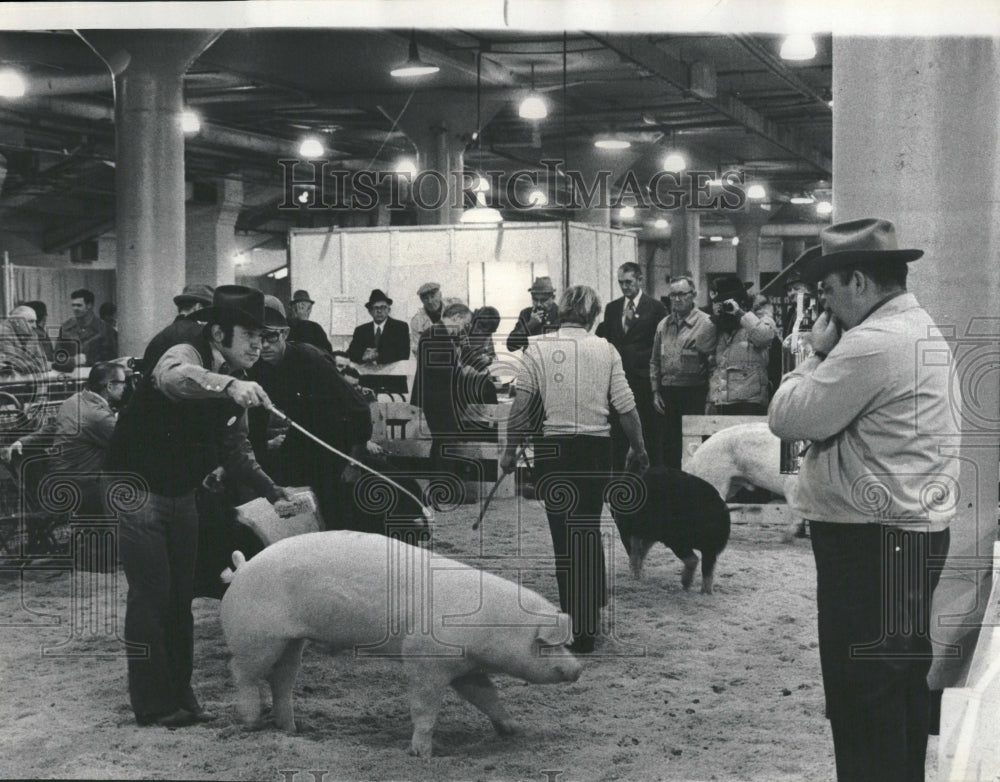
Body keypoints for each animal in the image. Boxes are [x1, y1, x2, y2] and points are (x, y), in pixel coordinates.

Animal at [219, 528, 580, 756]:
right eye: (546, 644)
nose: (577, 669)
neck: (489, 629)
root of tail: (241, 568)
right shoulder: (423, 658)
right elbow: (424, 708)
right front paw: (422, 753)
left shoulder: (466, 669)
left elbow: (488, 698)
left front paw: (514, 729)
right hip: (256, 638)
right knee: (242, 673)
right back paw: (251, 722)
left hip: (291, 642)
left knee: (281, 679)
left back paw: (292, 730)